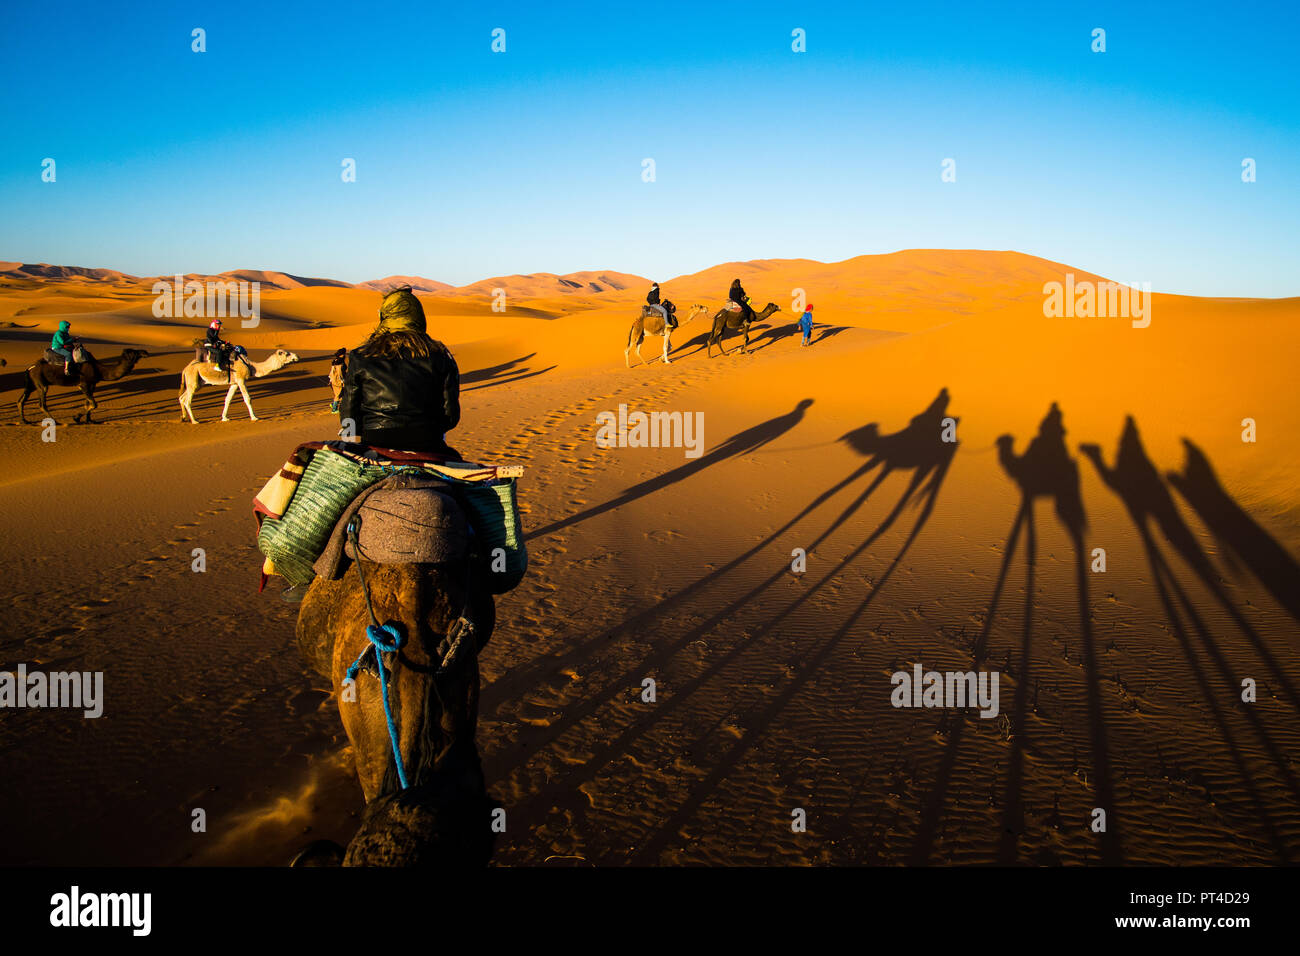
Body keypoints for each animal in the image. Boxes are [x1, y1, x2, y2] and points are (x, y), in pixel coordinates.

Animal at [17, 348, 152, 421]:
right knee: (42, 404)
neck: (99, 370)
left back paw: (25, 421)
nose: (146, 352)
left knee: (21, 400)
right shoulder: (83, 384)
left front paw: (88, 420)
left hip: (32, 383)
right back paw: (56, 422)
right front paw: (76, 417)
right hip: (41, 383)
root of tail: (30, 368)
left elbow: (88, 403)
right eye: (134, 352)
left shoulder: (92, 385)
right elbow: (94, 404)